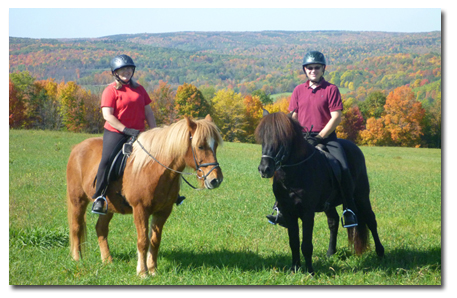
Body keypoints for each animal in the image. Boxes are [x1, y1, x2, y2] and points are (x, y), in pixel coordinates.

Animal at [67, 114, 223, 278]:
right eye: (200, 146)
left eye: (215, 146)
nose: (216, 180)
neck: (155, 169)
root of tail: (77, 148)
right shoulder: (140, 209)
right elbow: (142, 241)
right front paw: (142, 272)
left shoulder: (163, 211)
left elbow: (155, 240)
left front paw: (153, 269)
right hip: (77, 200)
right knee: (76, 227)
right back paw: (77, 258)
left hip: (108, 207)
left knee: (101, 229)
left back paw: (107, 260)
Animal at [255, 110, 382, 276]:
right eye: (263, 137)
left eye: (283, 138)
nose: (264, 169)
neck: (295, 173)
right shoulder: (288, 212)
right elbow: (294, 242)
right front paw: (294, 269)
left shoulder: (308, 212)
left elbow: (306, 244)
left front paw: (310, 272)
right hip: (330, 204)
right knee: (333, 221)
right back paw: (330, 252)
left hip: (361, 196)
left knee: (371, 220)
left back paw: (380, 252)